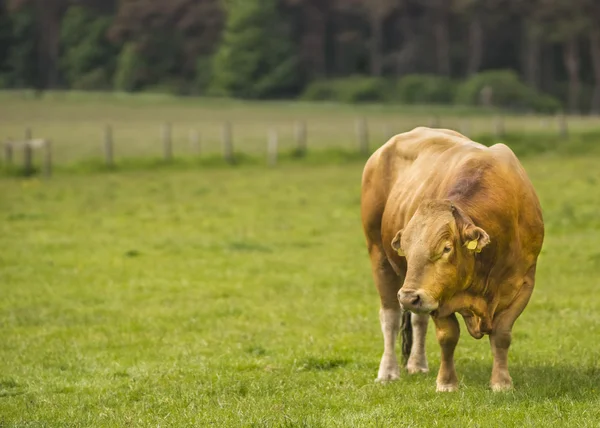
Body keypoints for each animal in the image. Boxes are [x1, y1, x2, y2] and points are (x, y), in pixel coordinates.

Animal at [360, 127, 544, 392]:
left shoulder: (524, 283)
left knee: (418, 320)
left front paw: (501, 382)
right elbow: (448, 336)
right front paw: (446, 383)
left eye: (446, 248)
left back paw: (417, 364)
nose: (408, 296)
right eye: (406, 248)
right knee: (390, 317)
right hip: (381, 258)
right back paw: (388, 371)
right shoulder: (439, 294)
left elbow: (502, 334)